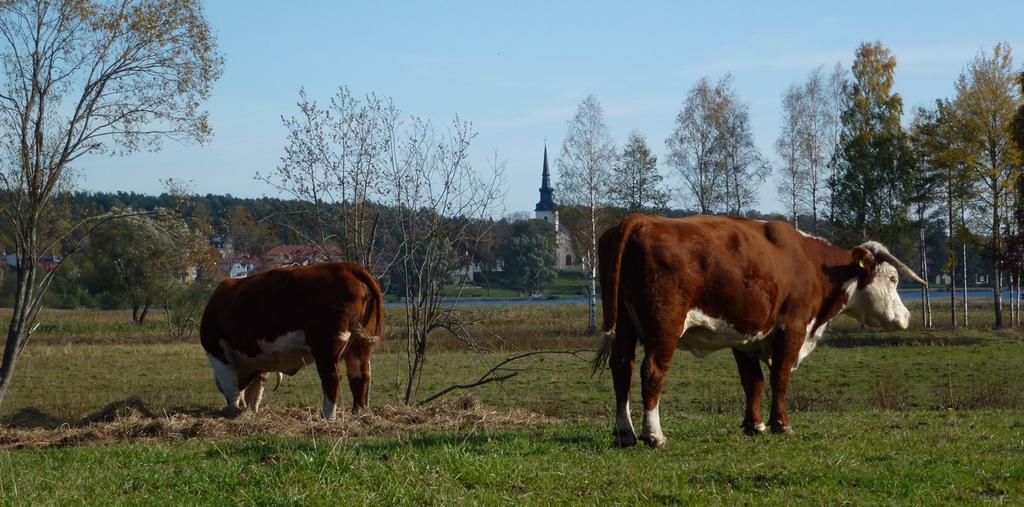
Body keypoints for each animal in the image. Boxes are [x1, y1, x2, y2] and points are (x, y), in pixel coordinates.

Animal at [199, 262, 385, 419]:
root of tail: (346, 266)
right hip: (359, 346)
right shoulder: (259, 362)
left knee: (332, 378)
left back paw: (327, 416)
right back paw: (358, 413)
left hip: (327, 346)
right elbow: (255, 389)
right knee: (359, 376)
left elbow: (230, 386)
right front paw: (249, 410)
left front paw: (233, 410)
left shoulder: (217, 352)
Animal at [593, 214, 929, 448]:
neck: (812, 263)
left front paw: (754, 425)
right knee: (652, 371)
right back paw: (654, 435)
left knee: (622, 368)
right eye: (893, 278)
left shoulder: (745, 337)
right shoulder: (793, 327)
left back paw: (625, 433)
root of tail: (643, 219)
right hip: (664, 327)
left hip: (624, 326)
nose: (907, 316)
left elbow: (752, 382)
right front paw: (782, 423)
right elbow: (780, 376)